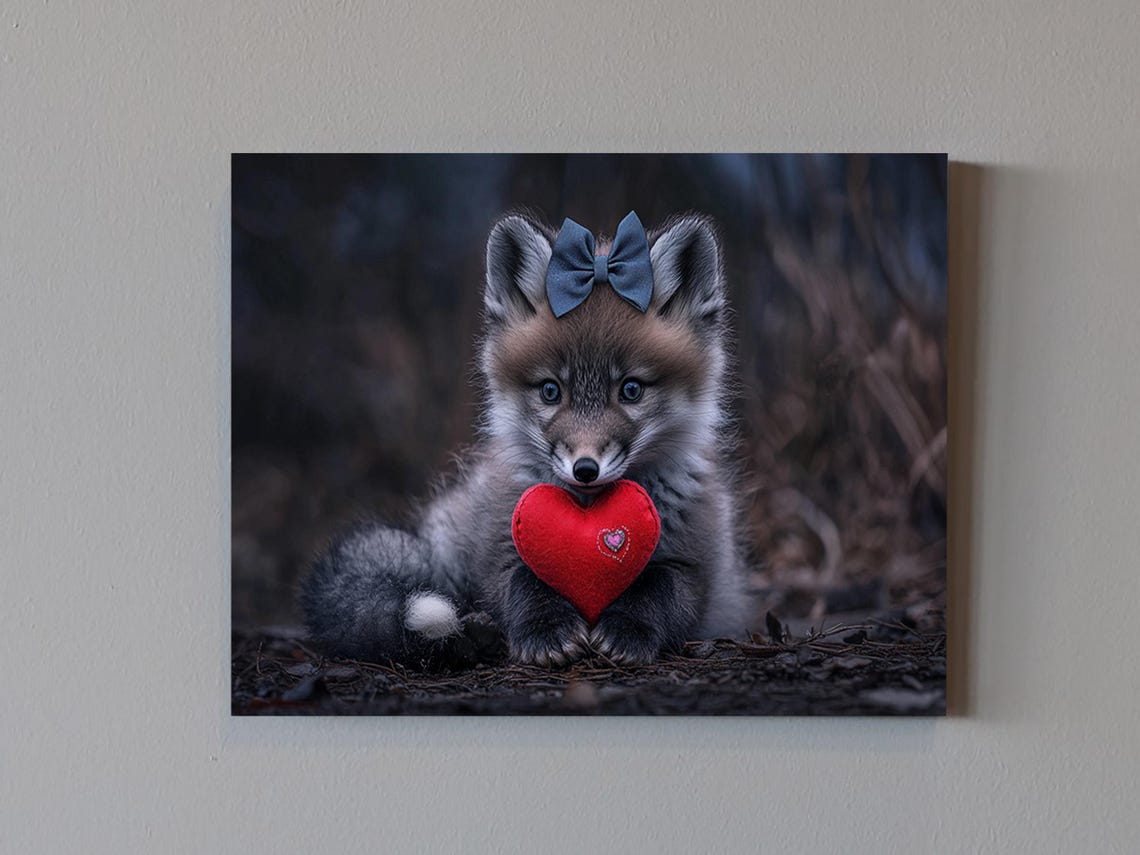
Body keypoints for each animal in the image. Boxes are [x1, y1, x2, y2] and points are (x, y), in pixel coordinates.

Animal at [300, 211, 752, 666]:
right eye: (550, 391)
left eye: (631, 390)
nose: (585, 469)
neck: (588, 508)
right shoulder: (500, 549)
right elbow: (523, 582)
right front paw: (546, 630)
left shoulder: (694, 568)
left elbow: (658, 590)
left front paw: (627, 630)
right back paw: (468, 638)